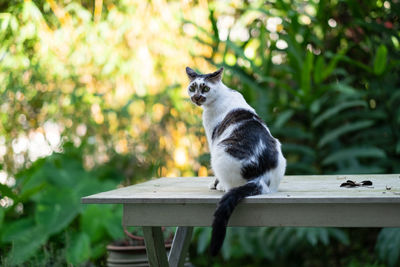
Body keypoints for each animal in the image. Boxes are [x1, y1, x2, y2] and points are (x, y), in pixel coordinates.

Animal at [186, 67, 286, 258]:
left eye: (205, 88)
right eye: (192, 87)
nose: (196, 97)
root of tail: (260, 178)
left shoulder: (212, 140)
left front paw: (214, 184)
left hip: (220, 152)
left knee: (230, 185)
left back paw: (221, 187)